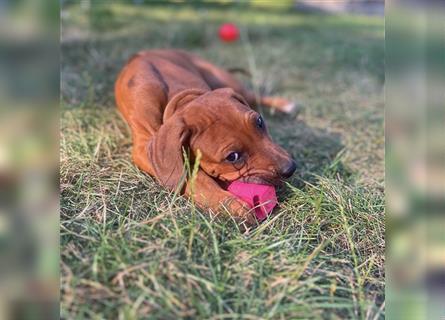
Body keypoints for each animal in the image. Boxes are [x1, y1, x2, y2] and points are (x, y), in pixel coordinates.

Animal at [114, 50, 294, 225]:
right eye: (232, 157)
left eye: (259, 121)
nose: (291, 168)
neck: (175, 98)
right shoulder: (143, 148)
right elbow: (197, 179)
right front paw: (229, 204)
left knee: (253, 95)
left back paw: (285, 104)